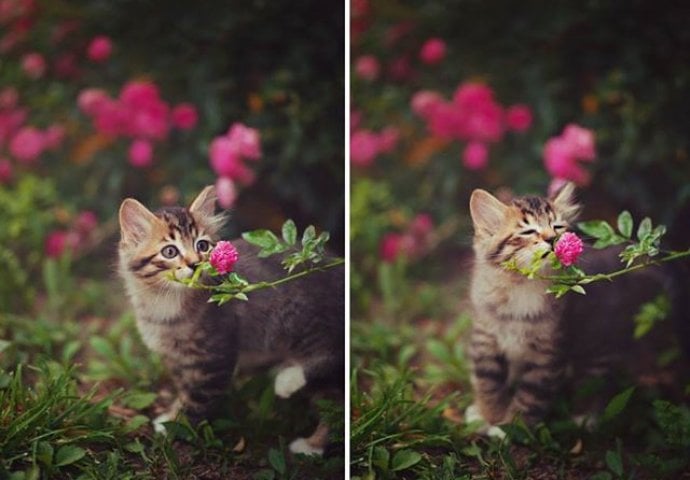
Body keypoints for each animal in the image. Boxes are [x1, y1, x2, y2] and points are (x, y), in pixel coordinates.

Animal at [119, 186, 344, 456]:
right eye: (170, 251)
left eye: (202, 245)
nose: (195, 263)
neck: (166, 303)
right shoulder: (178, 360)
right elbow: (184, 391)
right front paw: (171, 416)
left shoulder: (213, 359)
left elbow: (197, 401)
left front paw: (177, 427)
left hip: (303, 318)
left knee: (331, 370)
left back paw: (306, 429)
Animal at [464, 183, 684, 436]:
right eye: (528, 232)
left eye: (557, 227)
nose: (551, 239)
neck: (523, 287)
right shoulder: (485, 340)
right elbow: (487, 383)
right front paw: (487, 416)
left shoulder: (548, 352)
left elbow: (531, 395)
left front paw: (511, 428)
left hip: (596, 341)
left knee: (594, 379)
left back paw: (584, 415)